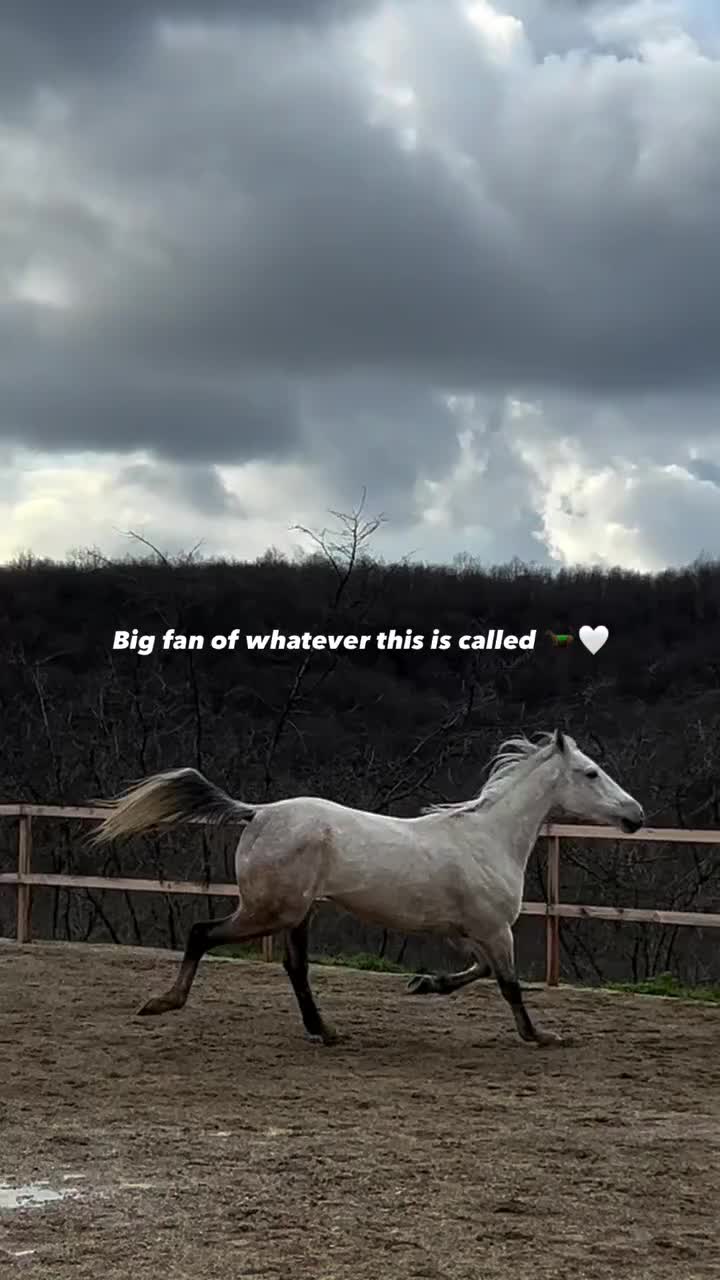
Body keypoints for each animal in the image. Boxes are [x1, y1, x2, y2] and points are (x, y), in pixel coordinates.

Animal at [89, 729, 644, 1049]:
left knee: (295, 968)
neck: (488, 839)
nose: (636, 815)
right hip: (270, 910)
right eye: (590, 772)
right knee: (202, 933)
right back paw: (164, 1002)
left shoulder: (466, 932)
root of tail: (258, 812)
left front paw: (425, 984)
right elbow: (508, 983)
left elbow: (482, 972)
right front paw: (540, 1035)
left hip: (297, 914)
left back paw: (326, 1031)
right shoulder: (494, 929)